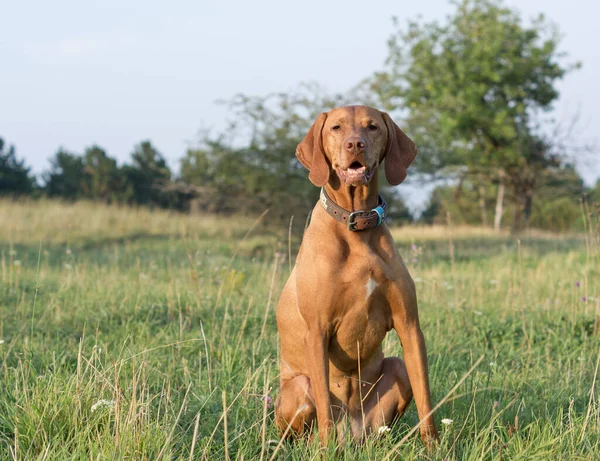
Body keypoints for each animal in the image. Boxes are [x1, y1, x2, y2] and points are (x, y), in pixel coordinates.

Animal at [274, 105, 438, 446]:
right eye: (336, 128)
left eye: (372, 127)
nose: (355, 145)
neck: (357, 224)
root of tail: (350, 431)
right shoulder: (317, 331)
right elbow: (325, 402)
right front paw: (324, 452)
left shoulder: (409, 325)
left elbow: (426, 397)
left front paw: (435, 447)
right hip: (299, 388)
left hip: (394, 374)